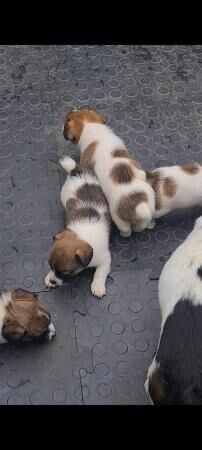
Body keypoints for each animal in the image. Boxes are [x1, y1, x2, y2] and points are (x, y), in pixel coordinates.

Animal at [43, 156, 112, 298]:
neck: (83, 236)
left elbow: (100, 273)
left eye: (65, 273)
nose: (53, 281)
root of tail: (77, 171)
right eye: (50, 265)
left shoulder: (105, 260)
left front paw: (97, 286)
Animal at [62, 109, 155, 237]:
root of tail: (140, 206)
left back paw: (123, 234)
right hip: (150, 208)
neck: (92, 128)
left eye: (67, 118)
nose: (71, 109)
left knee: (128, 230)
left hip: (119, 218)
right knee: (142, 226)